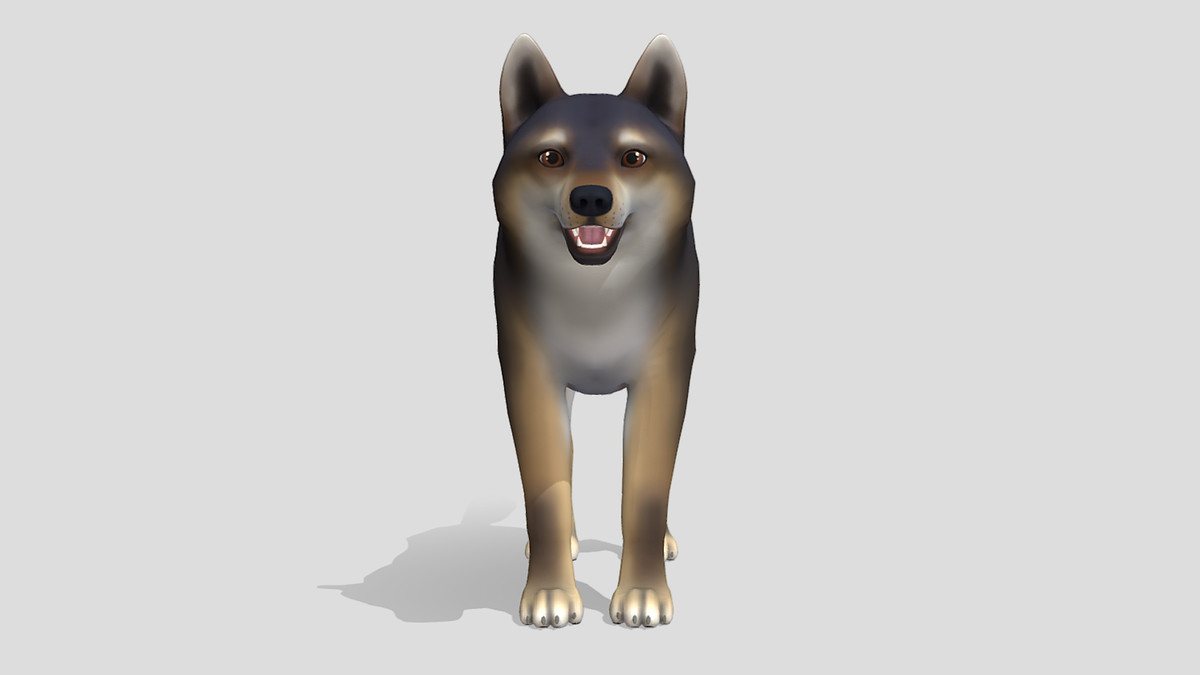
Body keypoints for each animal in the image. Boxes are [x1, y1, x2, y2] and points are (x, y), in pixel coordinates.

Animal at [492, 35, 699, 628]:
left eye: (633, 157)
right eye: (550, 156)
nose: (590, 198)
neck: (596, 298)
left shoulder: (662, 382)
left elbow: (646, 494)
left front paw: (644, 591)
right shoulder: (531, 381)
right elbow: (546, 491)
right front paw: (549, 589)